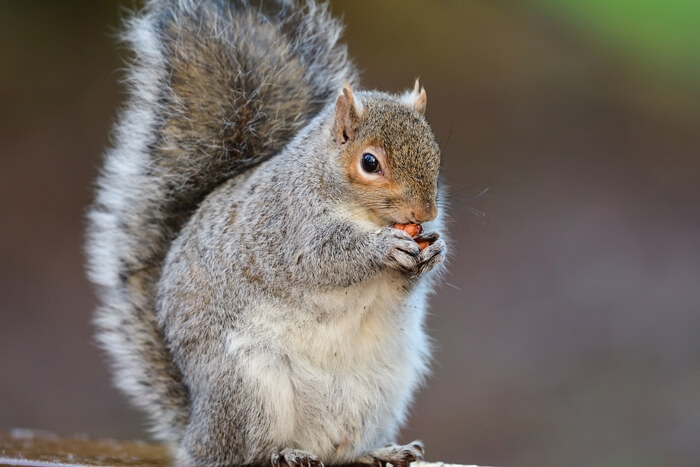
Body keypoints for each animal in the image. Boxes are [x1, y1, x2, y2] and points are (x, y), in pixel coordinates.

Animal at [86, 0, 448, 467]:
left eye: (435, 153)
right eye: (370, 162)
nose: (425, 213)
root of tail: (196, 433)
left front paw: (432, 251)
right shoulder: (289, 225)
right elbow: (323, 259)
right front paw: (383, 248)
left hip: (382, 390)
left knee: (342, 451)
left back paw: (379, 451)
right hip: (248, 388)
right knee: (246, 451)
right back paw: (284, 454)